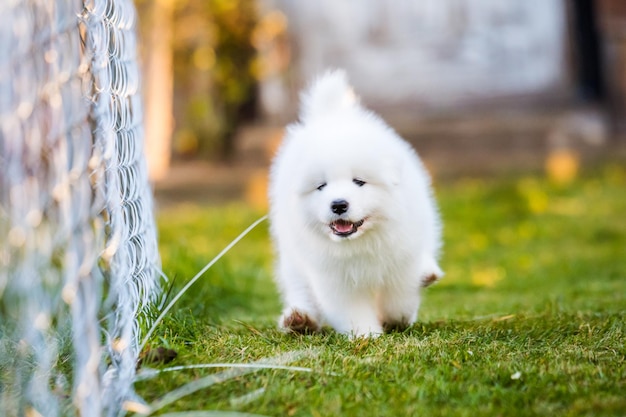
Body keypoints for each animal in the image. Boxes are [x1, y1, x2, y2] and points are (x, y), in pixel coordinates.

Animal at [266, 70, 442, 336]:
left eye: (359, 181)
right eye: (321, 186)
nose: (338, 204)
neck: (360, 243)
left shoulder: (402, 259)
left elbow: (399, 297)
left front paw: (394, 318)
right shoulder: (332, 277)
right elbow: (352, 309)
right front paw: (367, 334)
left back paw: (428, 274)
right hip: (291, 254)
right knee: (299, 286)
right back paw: (299, 319)